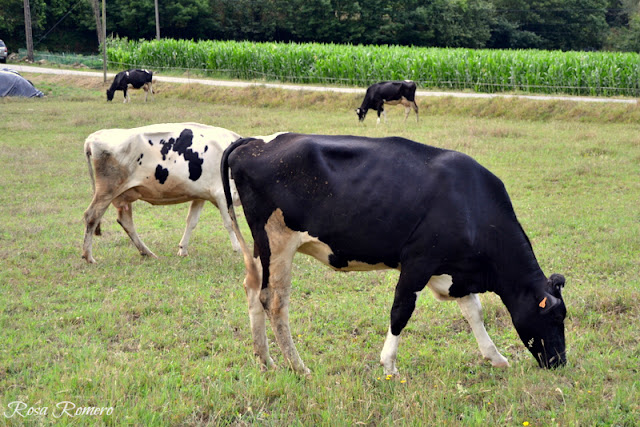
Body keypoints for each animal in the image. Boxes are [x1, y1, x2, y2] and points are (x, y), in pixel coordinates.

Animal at [80, 122, 240, 264]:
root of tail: (94, 136)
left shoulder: (201, 195)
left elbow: (191, 221)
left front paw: (183, 249)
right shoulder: (222, 193)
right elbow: (230, 223)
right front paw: (238, 249)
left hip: (124, 194)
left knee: (125, 221)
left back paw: (147, 252)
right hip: (107, 190)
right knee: (92, 216)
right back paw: (89, 257)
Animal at [222, 133, 568, 374]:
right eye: (554, 317)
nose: (560, 362)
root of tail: (254, 142)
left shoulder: (450, 270)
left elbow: (474, 312)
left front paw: (495, 357)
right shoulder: (418, 261)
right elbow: (401, 310)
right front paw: (388, 364)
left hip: (261, 248)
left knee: (252, 289)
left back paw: (266, 361)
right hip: (277, 240)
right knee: (273, 301)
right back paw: (299, 367)